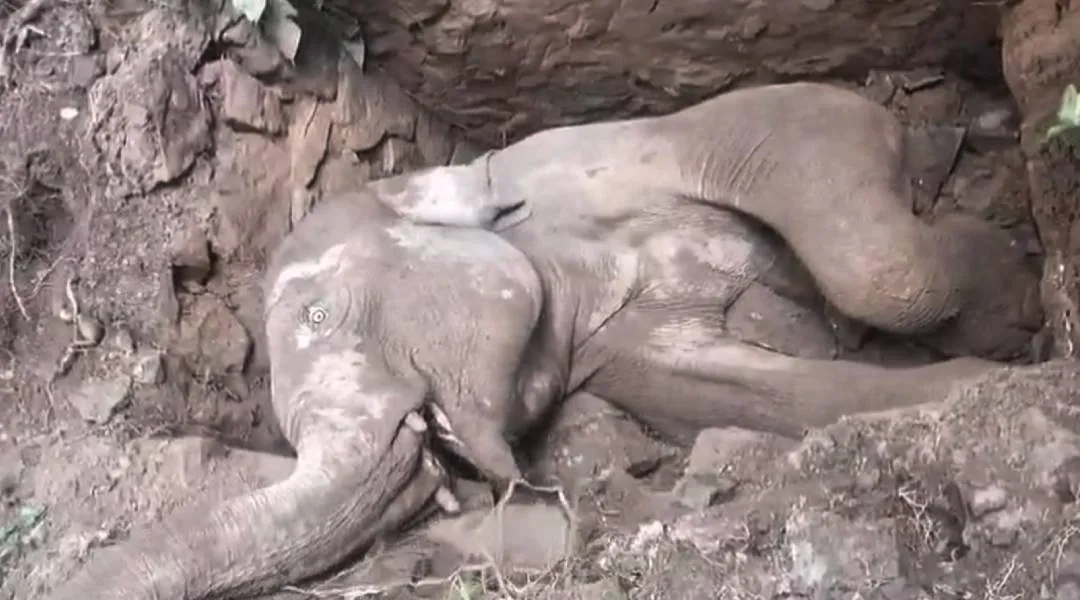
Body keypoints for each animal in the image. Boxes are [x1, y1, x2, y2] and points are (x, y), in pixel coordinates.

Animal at [42, 82, 1042, 599]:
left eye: (317, 317)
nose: (437, 462)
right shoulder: (617, 346)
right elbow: (715, 388)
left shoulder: (610, 151)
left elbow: (811, 143)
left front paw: (1016, 307)